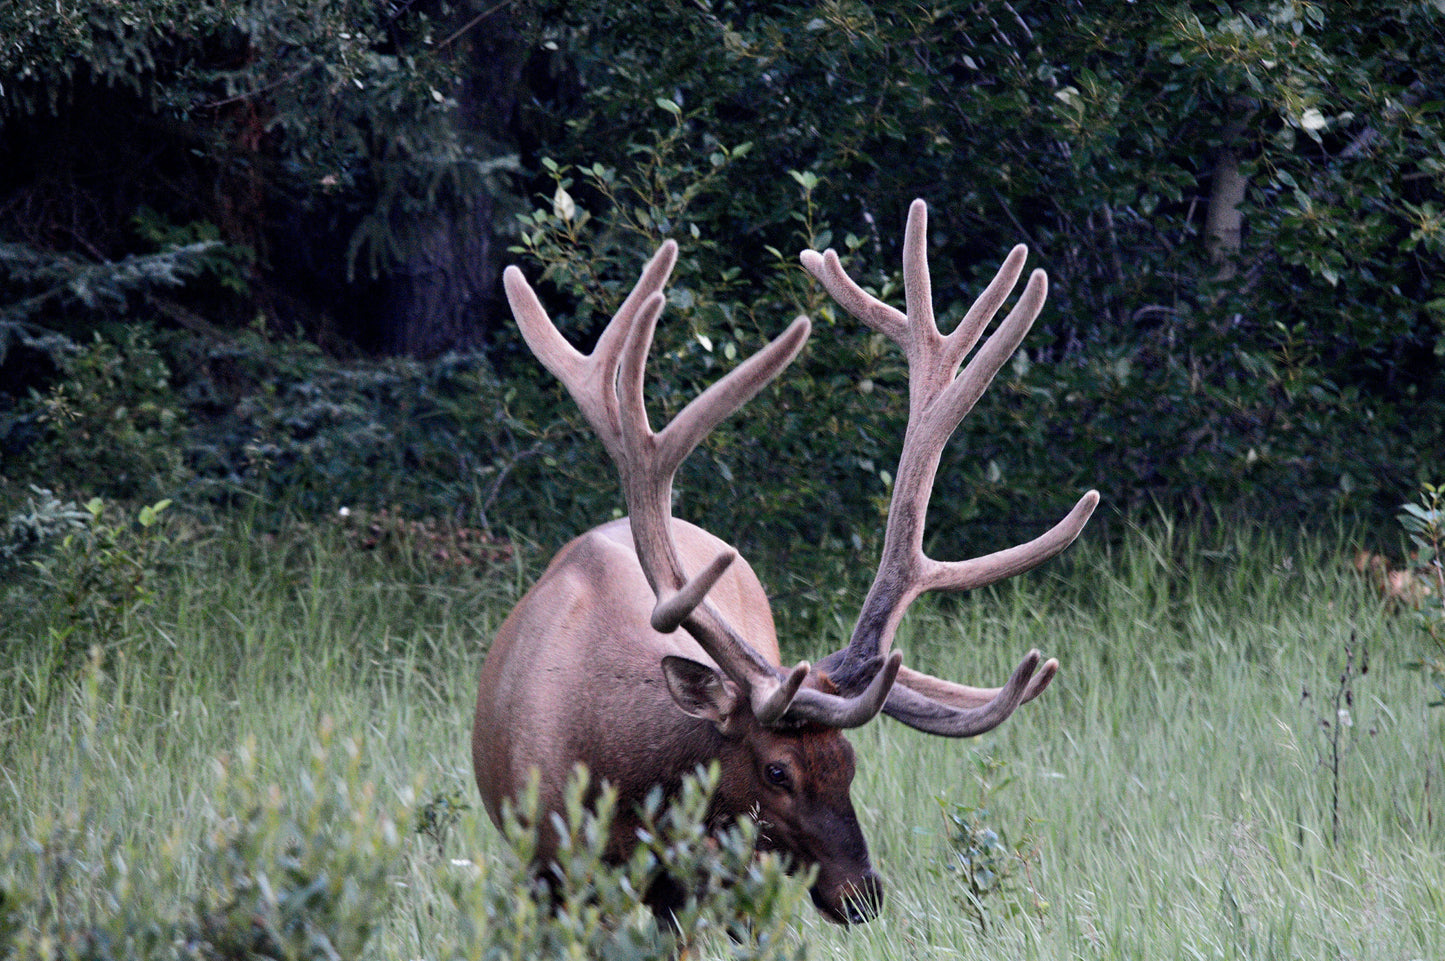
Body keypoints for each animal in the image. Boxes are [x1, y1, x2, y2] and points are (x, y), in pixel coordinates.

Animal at [471, 199, 1100, 926]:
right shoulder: (542, 867)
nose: (862, 893)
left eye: (849, 762)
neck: (612, 780)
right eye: (777, 770)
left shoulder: (694, 887)